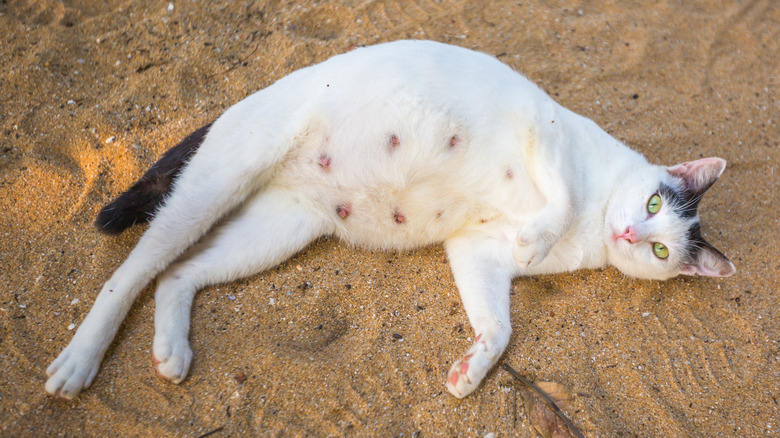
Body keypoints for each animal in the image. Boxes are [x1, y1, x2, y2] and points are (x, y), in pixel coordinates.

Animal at [45, 40, 736, 400]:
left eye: (662, 253)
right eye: (652, 205)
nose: (631, 234)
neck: (597, 220)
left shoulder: (475, 251)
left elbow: (499, 328)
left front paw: (470, 371)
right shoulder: (548, 135)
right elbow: (557, 199)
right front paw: (538, 237)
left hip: (276, 232)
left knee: (177, 274)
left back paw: (171, 349)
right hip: (215, 186)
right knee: (132, 273)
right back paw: (78, 360)